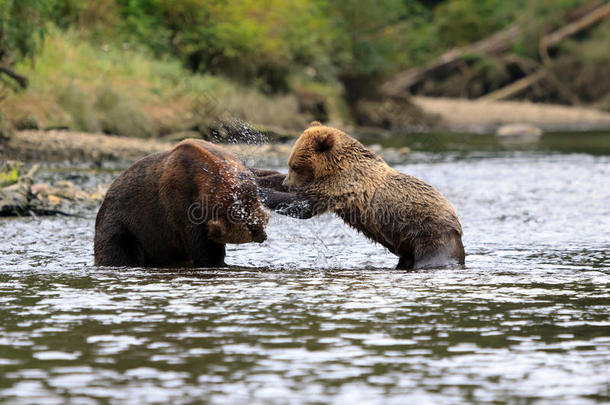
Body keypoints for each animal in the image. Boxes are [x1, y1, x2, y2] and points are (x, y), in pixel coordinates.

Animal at [93, 139, 268, 268]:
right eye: (250, 228)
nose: (264, 236)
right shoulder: (180, 203)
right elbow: (203, 246)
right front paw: (216, 261)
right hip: (126, 227)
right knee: (120, 251)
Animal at [258, 121, 464, 270]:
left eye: (295, 166)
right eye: (290, 164)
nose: (287, 184)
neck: (335, 167)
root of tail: (457, 226)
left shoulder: (342, 183)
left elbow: (303, 204)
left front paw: (262, 192)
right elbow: (279, 182)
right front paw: (257, 175)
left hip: (429, 235)